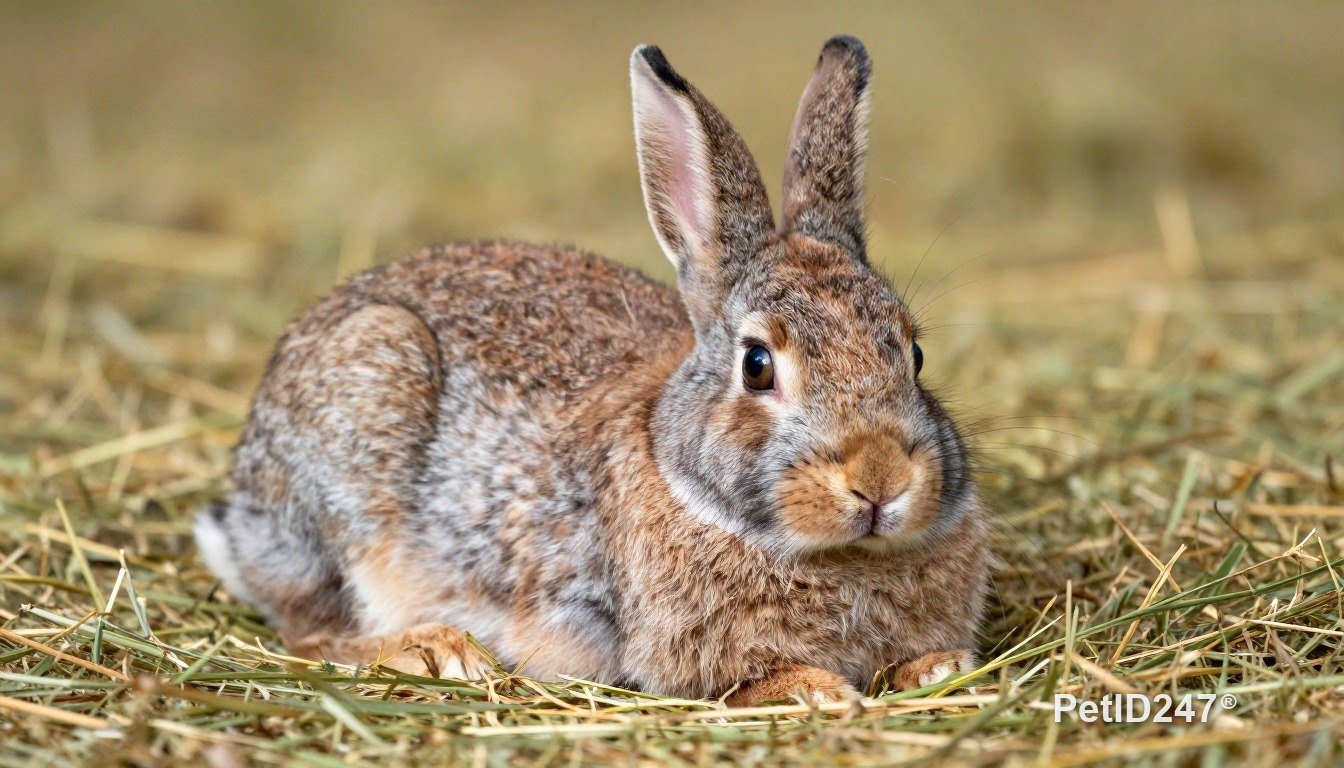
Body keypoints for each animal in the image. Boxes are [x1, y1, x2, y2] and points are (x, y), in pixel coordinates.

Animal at [196, 35, 989, 705]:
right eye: (758, 365)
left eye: (913, 354)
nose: (880, 478)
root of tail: (243, 514)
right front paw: (814, 690)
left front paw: (941, 667)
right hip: (360, 436)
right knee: (311, 632)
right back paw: (438, 650)